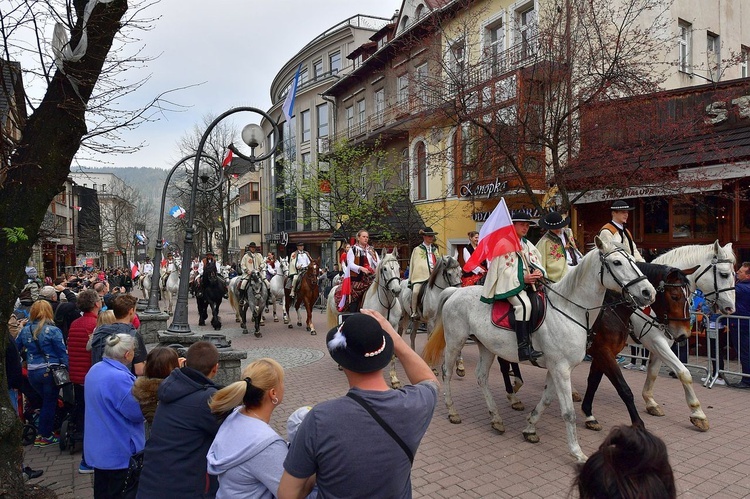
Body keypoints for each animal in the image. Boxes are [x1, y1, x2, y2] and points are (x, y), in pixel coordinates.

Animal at [424, 238, 656, 464]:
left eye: (633, 260)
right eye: (617, 262)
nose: (649, 292)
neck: (570, 310)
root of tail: (456, 291)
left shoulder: (557, 368)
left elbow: (546, 400)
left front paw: (530, 428)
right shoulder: (562, 368)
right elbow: (568, 412)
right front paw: (577, 453)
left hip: (487, 347)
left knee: (481, 377)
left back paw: (496, 418)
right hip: (455, 341)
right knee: (447, 372)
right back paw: (452, 411)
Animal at [580, 264, 700, 432]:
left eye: (689, 298)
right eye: (674, 296)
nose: (684, 334)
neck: (610, 309)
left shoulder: (602, 353)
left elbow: (593, 381)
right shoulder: (606, 351)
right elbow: (682, 372)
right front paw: (698, 414)